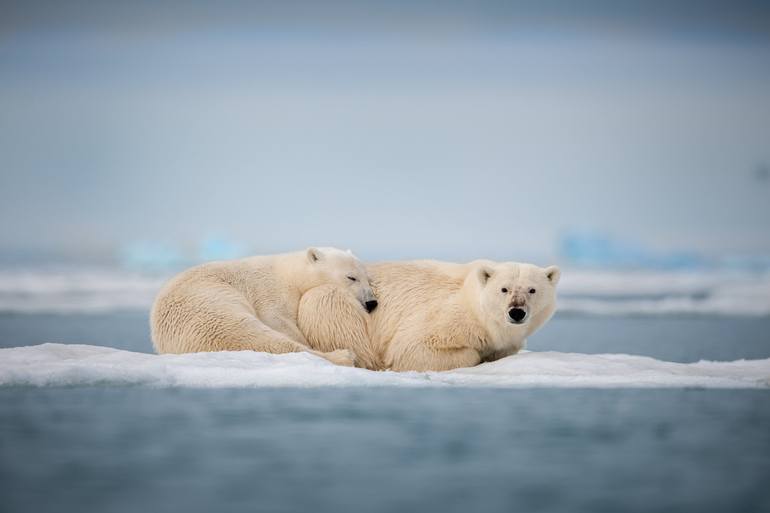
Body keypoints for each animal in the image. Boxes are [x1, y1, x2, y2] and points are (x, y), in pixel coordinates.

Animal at [148, 247, 376, 364]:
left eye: (368, 278)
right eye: (351, 277)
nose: (371, 302)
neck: (290, 274)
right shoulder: (270, 290)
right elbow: (277, 318)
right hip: (209, 308)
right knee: (251, 335)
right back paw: (343, 355)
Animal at [296, 260, 560, 368]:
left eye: (532, 289)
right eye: (504, 289)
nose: (516, 312)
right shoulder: (449, 316)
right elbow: (411, 348)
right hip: (334, 302)